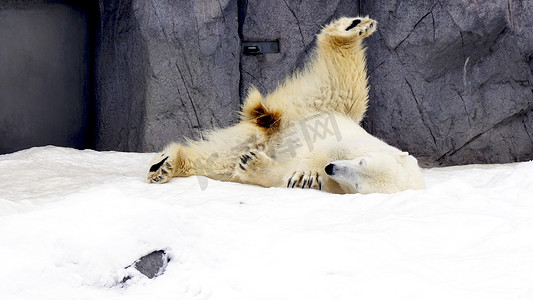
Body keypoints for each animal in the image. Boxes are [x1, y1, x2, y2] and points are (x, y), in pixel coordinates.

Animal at [148, 17, 426, 195]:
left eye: (360, 184)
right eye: (362, 162)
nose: (332, 168)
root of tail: (275, 120)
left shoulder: (334, 186)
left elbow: (282, 177)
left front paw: (258, 166)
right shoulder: (351, 141)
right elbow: (319, 149)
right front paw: (306, 172)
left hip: (259, 136)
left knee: (217, 159)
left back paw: (166, 165)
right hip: (322, 102)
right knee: (345, 83)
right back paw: (353, 28)